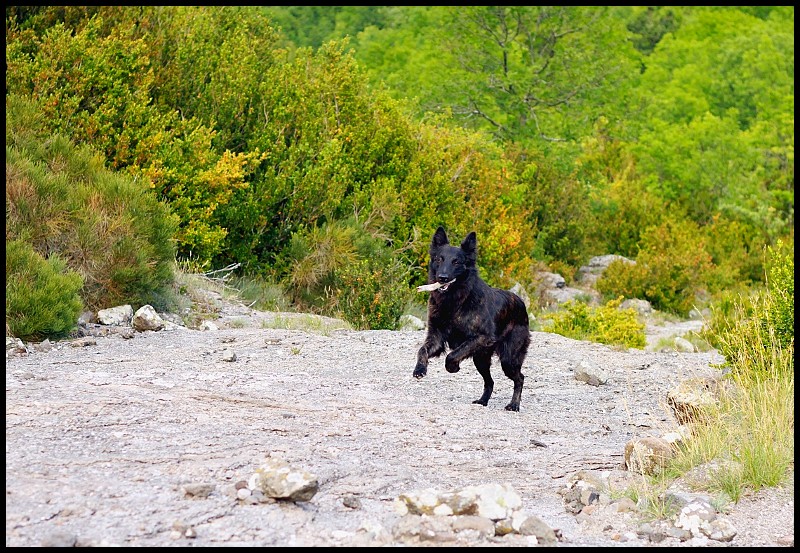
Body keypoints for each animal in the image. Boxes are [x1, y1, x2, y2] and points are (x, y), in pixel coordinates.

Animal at [412, 224, 532, 410]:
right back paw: (483, 401)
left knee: (520, 378)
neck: (454, 302)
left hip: (508, 359)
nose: (442, 278)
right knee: (490, 382)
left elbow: (452, 355)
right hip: (481, 360)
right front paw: (419, 369)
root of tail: (520, 302)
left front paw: (452, 367)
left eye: (456, 262)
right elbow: (422, 349)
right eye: (439, 259)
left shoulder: (482, 337)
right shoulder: (436, 337)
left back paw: (514, 405)